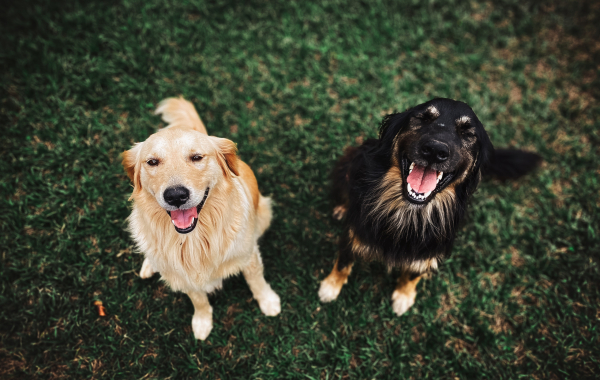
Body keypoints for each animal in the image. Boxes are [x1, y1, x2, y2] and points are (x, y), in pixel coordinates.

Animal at [123, 96, 282, 340]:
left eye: (197, 157)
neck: (193, 240)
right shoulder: (185, 277)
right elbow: (198, 300)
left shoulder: (248, 255)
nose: (176, 195)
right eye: (152, 162)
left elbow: (257, 281)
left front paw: (268, 302)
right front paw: (202, 322)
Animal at [318, 97, 540, 314]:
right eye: (423, 118)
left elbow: (413, 273)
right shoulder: (354, 232)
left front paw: (404, 296)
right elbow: (343, 262)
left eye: (467, 133)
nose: (435, 150)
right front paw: (330, 287)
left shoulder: (429, 250)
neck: (409, 211)